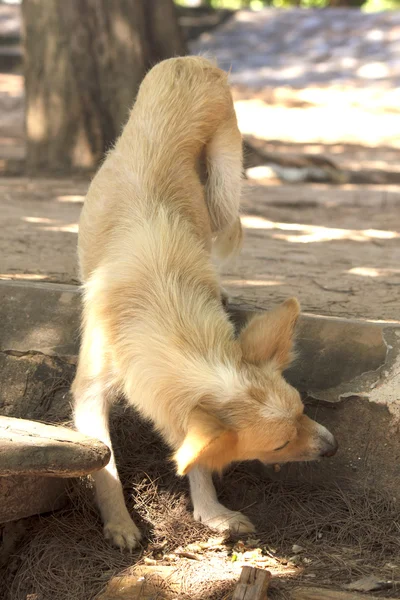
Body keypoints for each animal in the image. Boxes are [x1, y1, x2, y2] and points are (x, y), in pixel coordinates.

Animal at [72, 55, 338, 548]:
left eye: (302, 411)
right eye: (279, 443)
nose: (334, 446)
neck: (162, 305)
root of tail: (188, 61)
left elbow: (194, 457)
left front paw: (212, 511)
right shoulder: (89, 391)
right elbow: (105, 463)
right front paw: (119, 523)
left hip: (222, 193)